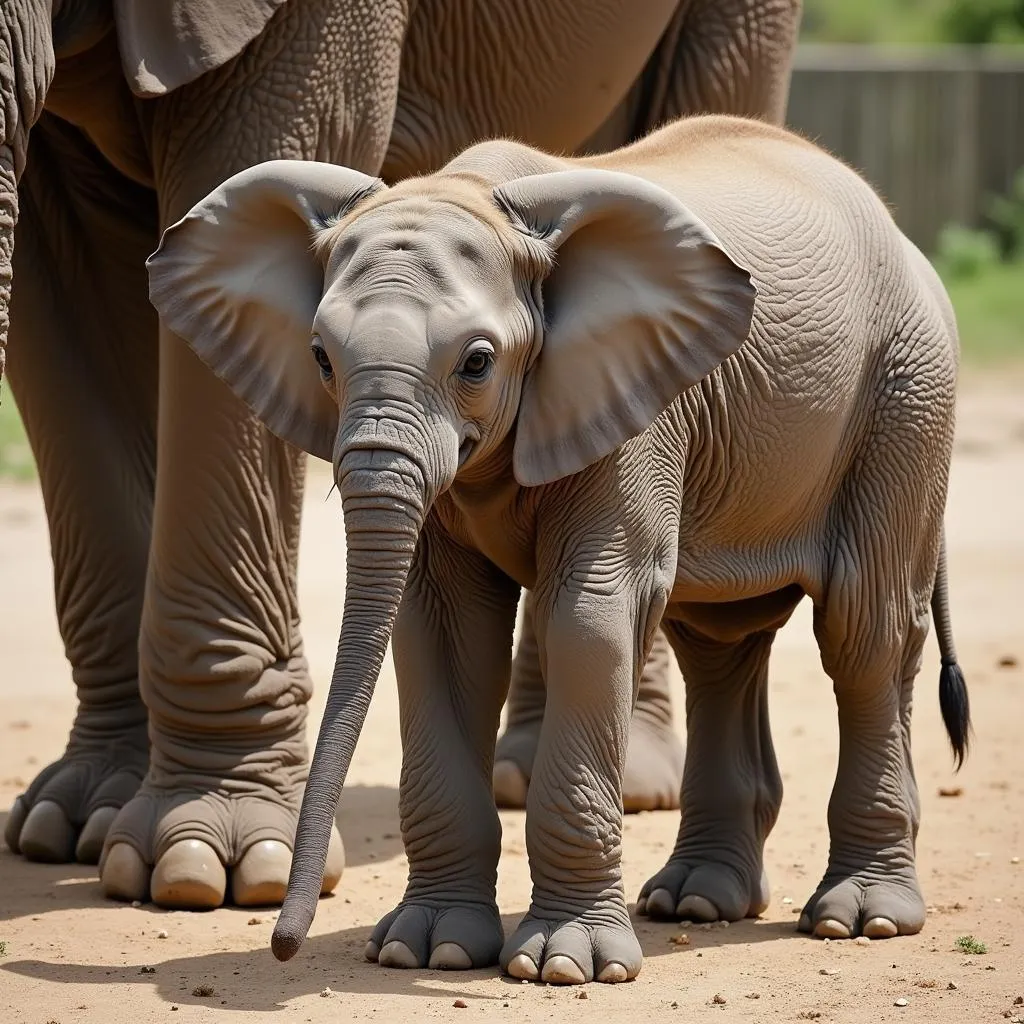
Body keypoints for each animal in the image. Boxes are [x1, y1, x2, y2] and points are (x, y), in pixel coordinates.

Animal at [0, 0, 798, 913]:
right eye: (318, 359)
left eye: (478, 365)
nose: (287, 934)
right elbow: (59, 291)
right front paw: (76, 827)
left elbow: (261, 142)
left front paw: (212, 865)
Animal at [144, 114, 966, 983]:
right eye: (321, 359)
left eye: (477, 363)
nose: (282, 941)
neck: (477, 197)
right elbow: (445, 630)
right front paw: (426, 949)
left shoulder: (636, 405)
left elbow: (590, 619)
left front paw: (565, 966)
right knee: (721, 641)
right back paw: (694, 903)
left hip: (906, 392)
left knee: (864, 633)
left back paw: (861, 919)